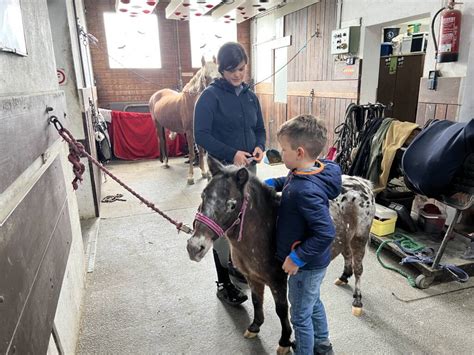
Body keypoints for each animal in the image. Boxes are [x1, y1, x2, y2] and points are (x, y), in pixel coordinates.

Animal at [149, 57, 221, 185]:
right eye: (205, 77)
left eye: (219, 74)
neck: (194, 103)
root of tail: (154, 96)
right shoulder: (189, 132)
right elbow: (192, 153)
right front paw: (190, 177)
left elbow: (201, 152)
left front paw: (204, 172)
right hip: (157, 124)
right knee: (161, 141)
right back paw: (166, 162)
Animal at [187, 159, 376, 355]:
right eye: (203, 195)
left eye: (232, 205)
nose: (194, 247)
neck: (265, 230)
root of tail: (363, 183)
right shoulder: (252, 277)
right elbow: (257, 301)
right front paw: (254, 327)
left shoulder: (277, 281)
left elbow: (282, 309)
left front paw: (285, 341)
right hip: (346, 237)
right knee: (347, 255)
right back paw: (343, 277)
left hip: (359, 238)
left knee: (359, 268)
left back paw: (357, 301)